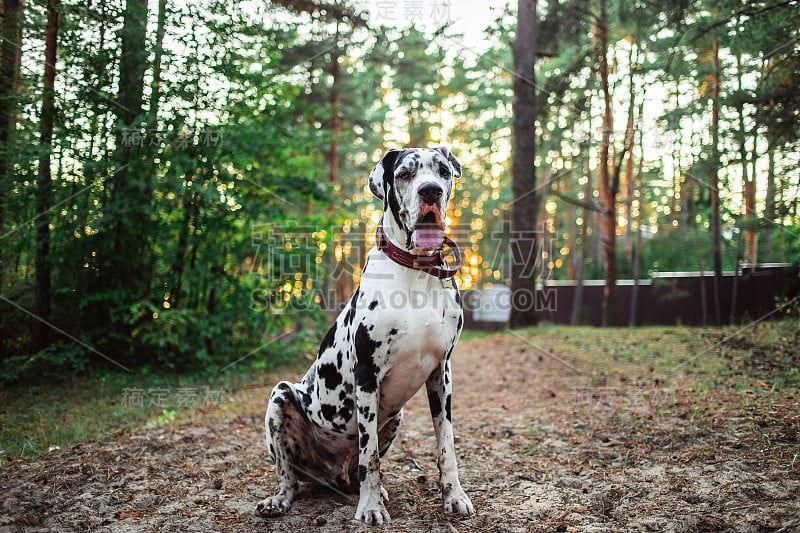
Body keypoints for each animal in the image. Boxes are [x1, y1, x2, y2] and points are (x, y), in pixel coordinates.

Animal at [253, 145, 472, 524]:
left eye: (443, 171)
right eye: (404, 174)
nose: (430, 191)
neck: (415, 272)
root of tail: (331, 473)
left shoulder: (441, 374)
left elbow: (446, 447)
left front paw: (454, 497)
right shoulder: (367, 375)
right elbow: (369, 456)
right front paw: (370, 508)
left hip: (396, 416)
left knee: (355, 469)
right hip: (281, 397)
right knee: (289, 473)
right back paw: (280, 499)